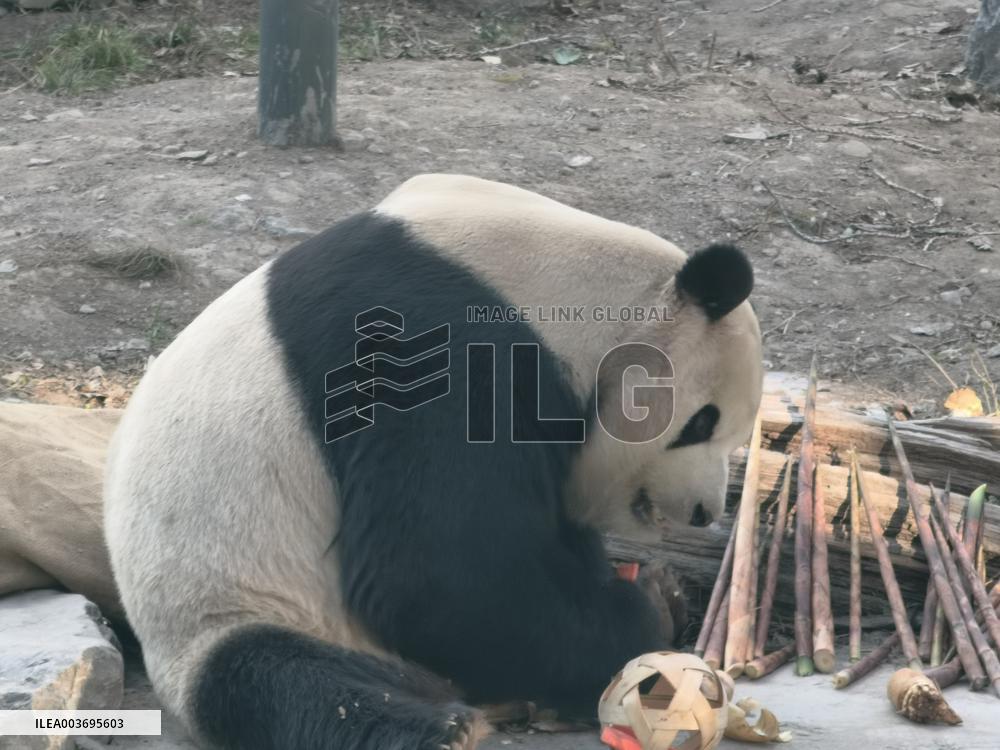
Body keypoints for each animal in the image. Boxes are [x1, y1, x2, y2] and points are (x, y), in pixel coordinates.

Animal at [103, 174, 763, 750]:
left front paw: (656, 592)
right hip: (233, 603)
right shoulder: (430, 351)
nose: (704, 511)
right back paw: (442, 729)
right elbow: (436, 575)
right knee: (278, 682)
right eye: (703, 422)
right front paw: (648, 610)